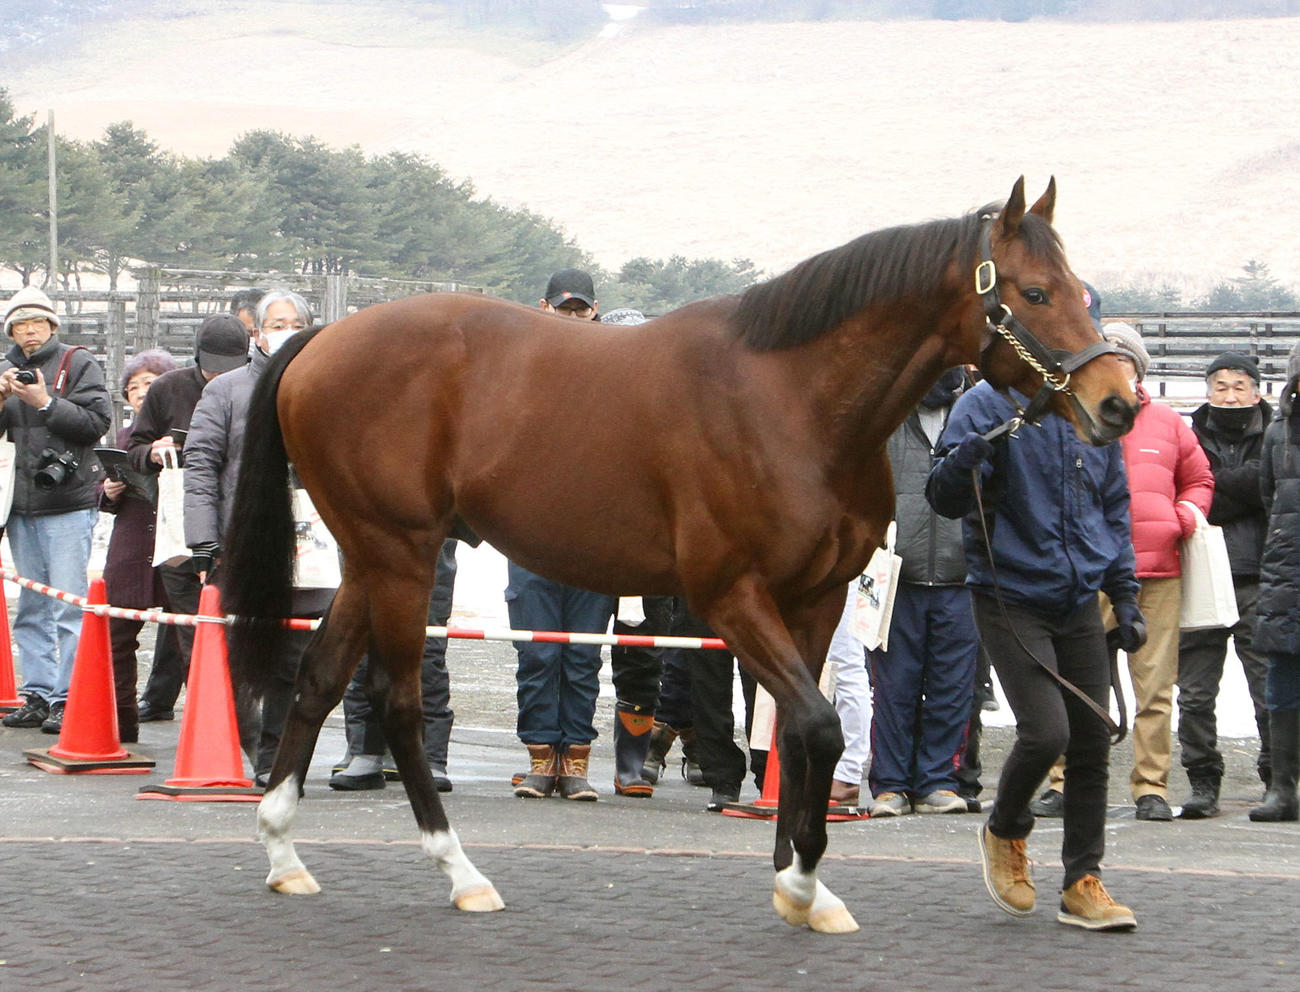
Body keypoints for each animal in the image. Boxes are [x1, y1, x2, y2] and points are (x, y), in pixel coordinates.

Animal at [221, 177, 1136, 934]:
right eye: (1033, 291)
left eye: (1072, 288)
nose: (1118, 403)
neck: (793, 401)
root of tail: (319, 342)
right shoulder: (731, 597)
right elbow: (818, 724)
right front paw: (801, 882)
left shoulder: (816, 598)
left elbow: (803, 733)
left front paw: (802, 889)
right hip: (402, 555)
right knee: (400, 703)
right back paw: (461, 873)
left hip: (371, 559)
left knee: (318, 680)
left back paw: (283, 853)